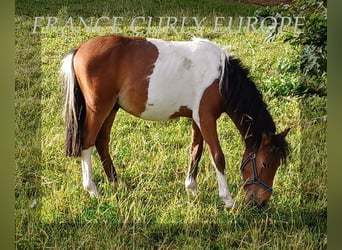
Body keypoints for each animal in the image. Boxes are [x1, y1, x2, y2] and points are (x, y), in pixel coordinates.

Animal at [60, 34, 288, 208]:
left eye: (277, 164)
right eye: (266, 163)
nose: (261, 202)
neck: (221, 78)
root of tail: (79, 49)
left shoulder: (198, 119)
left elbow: (196, 151)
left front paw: (192, 189)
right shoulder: (206, 119)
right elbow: (218, 157)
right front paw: (228, 201)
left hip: (112, 108)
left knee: (102, 142)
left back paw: (117, 183)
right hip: (98, 109)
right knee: (87, 143)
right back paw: (92, 190)